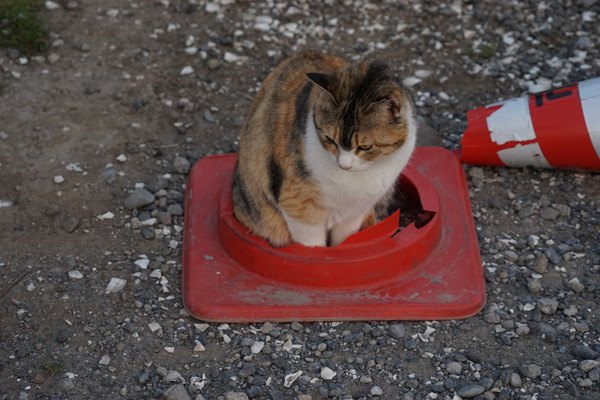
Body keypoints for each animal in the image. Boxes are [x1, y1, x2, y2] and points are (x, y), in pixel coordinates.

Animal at [232, 50, 414, 247]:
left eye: (365, 147)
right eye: (330, 140)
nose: (344, 165)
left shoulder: (354, 213)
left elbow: (344, 240)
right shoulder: (298, 206)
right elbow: (312, 245)